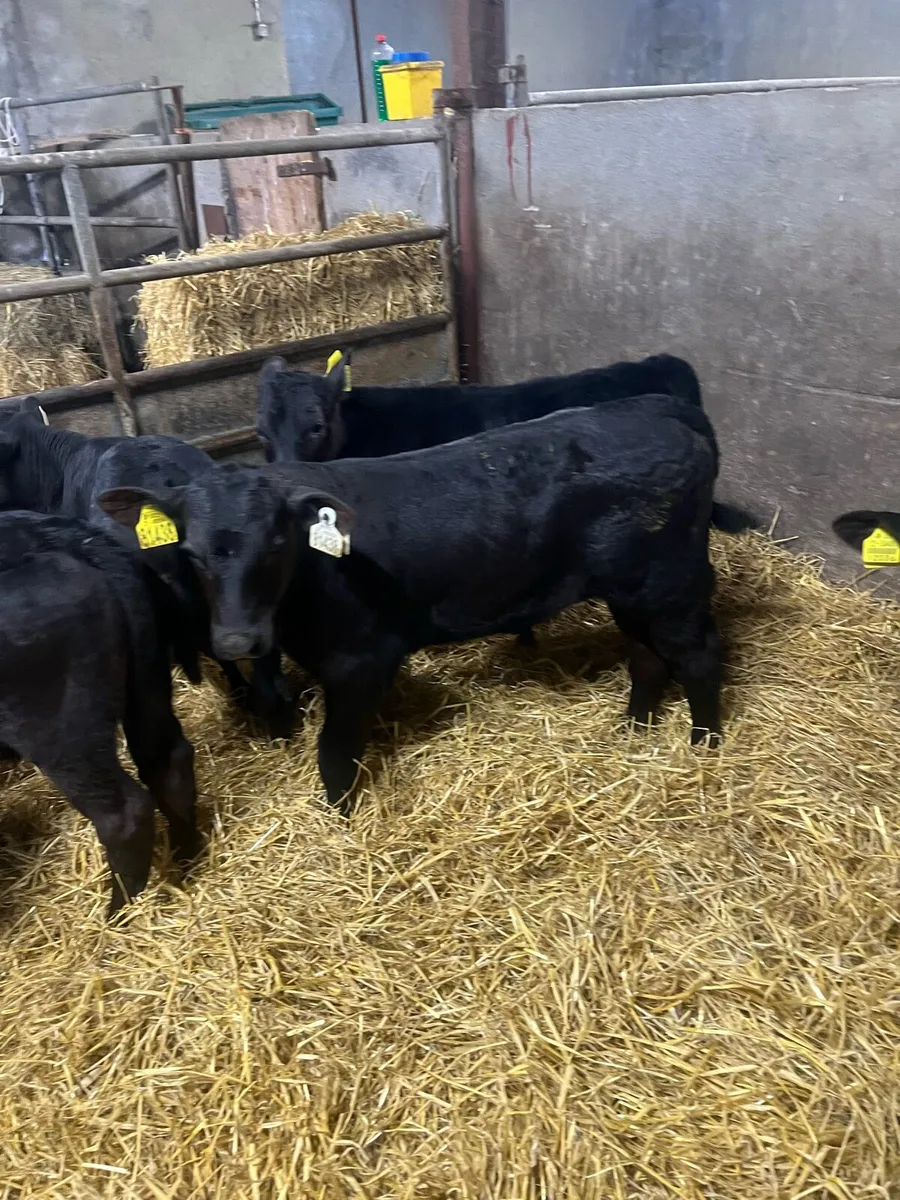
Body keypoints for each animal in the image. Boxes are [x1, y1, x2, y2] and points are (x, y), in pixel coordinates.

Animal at [0, 511, 198, 915]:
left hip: (59, 728)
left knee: (124, 812)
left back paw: (115, 914)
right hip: (149, 681)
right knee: (168, 761)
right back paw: (185, 862)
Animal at [100, 393, 727, 815]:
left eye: (277, 542)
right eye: (191, 552)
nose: (237, 641)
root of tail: (659, 413)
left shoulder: (364, 659)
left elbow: (334, 750)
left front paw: (339, 817)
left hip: (669, 584)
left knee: (699, 657)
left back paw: (706, 744)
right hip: (632, 592)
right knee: (648, 658)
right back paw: (635, 732)